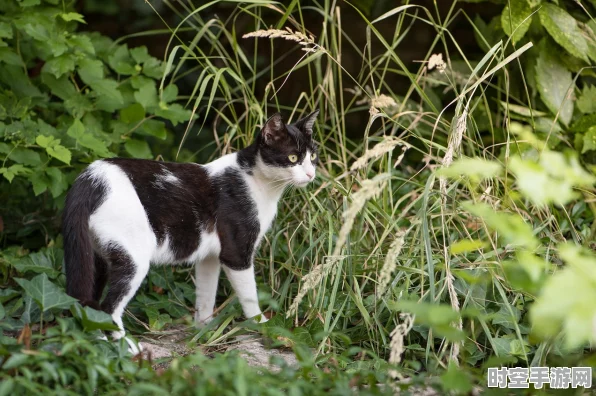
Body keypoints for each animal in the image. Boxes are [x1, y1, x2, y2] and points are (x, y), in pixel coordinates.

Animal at [62, 110, 318, 352]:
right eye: (293, 157)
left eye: (313, 156)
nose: (311, 174)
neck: (259, 183)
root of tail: (91, 178)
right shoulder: (236, 253)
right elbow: (249, 297)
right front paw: (264, 327)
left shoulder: (210, 257)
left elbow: (206, 295)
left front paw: (204, 332)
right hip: (133, 255)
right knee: (108, 307)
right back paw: (128, 348)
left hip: (94, 256)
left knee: (86, 304)